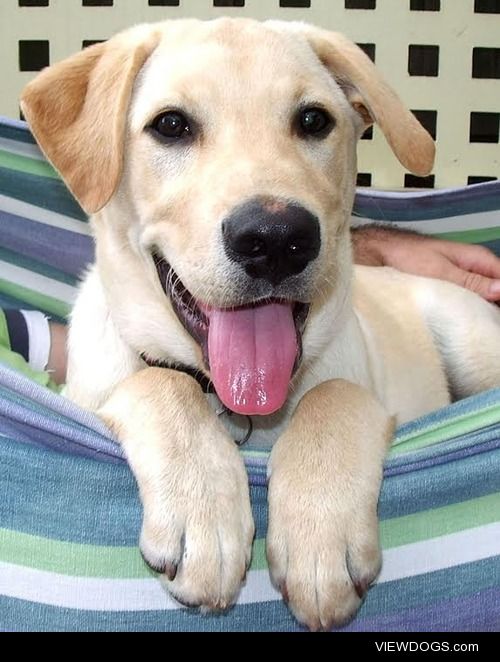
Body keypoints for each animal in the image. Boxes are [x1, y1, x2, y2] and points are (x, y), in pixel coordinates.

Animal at [19, 19, 500, 632]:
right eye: (170, 125)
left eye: (314, 120)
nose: (275, 240)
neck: (241, 411)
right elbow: (159, 380)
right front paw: (203, 515)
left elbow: (333, 394)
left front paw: (320, 539)